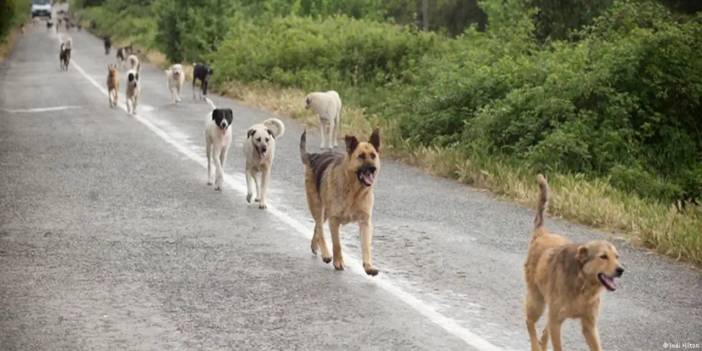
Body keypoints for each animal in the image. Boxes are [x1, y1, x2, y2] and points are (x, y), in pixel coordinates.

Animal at [300, 128, 382, 276]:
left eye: (373, 156)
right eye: (361, 156)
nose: (372, 168)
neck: (354, 191)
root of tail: (313, 156)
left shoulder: (365, 222)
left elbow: (366, 246)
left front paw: (368, 266)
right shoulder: (334, 220)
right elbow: (337, 244)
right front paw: (338, 262)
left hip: (325, 212)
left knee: (316, 227)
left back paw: (315, 246)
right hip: (318, 207)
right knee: (319, 228)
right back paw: (326, 254)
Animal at [524, 176, 628, 351]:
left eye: (617, 257)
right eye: (603, 256)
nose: (621, 270)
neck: (583, 283)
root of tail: (542, 233)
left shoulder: (589, 325)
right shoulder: (556, 321)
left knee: (543, 332)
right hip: (537, 301)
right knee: (529, 322)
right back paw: (535, 345)